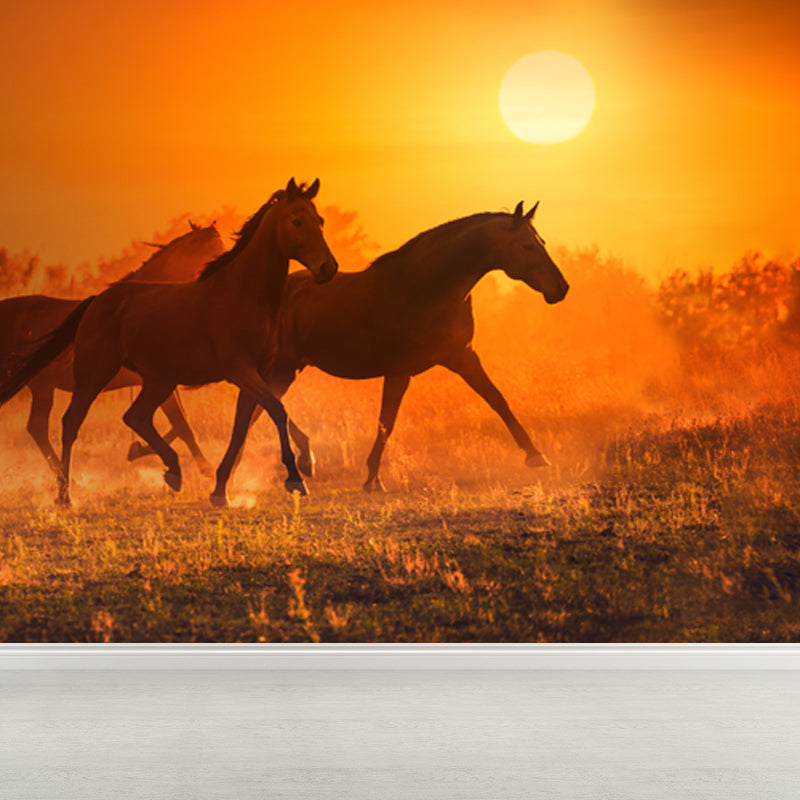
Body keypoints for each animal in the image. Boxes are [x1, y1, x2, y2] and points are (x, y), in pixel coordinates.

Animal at [0, 222, 225, 479]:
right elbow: (181, 425)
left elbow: (180, 424)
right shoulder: (157, 382)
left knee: (37, 428)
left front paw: (139, 450)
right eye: (210, 248)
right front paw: (205, 469)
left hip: (41, 387)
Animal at [209, 200, 569, 501]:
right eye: (526, 245)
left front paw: (536, 455)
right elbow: (387, 422)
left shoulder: (462, 356)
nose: (561, 288)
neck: (429, 287)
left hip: (286, 368)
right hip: (277, 366)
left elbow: (497, 399)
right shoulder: (400, 370)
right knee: (251, 408)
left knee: (258, 409)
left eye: (541, 242)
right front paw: (372, 479)